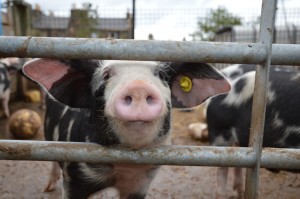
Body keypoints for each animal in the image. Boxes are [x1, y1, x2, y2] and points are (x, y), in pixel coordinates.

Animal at [22, 59, 230, 199]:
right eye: (106, 75)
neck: (122, 169)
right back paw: (48, 188)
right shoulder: (74, 178)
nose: (138, 86)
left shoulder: (139, 184)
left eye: (162, 76)